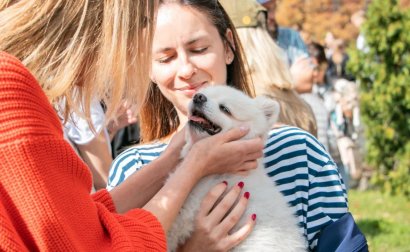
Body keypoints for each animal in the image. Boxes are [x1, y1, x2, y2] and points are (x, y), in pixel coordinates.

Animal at [167, 85, 308, 251]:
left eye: (225, 109)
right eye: (202, 94)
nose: (198, 97)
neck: (223, 172)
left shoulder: (192, 205)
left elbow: (175, 227)